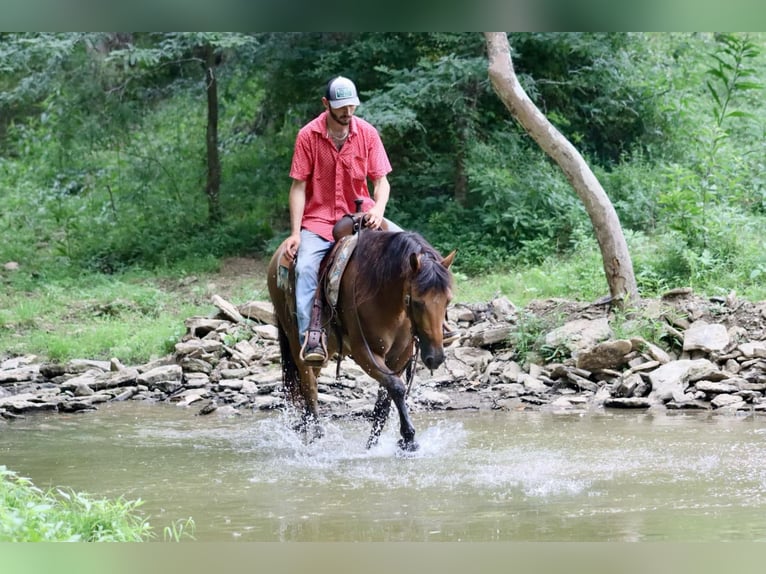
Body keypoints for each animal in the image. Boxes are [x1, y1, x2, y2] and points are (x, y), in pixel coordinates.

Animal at [267, 226, 456, 451]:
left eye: (448, 300)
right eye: (417, 302)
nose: (435, 357)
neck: (384, 295)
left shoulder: (399, 357)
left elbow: (385, 400)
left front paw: (374, 444)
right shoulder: (365, 353)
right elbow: (397, 388)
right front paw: (409, 439)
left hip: (324, 351)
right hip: (296, 343)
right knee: (309, 387)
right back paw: (316, 437)